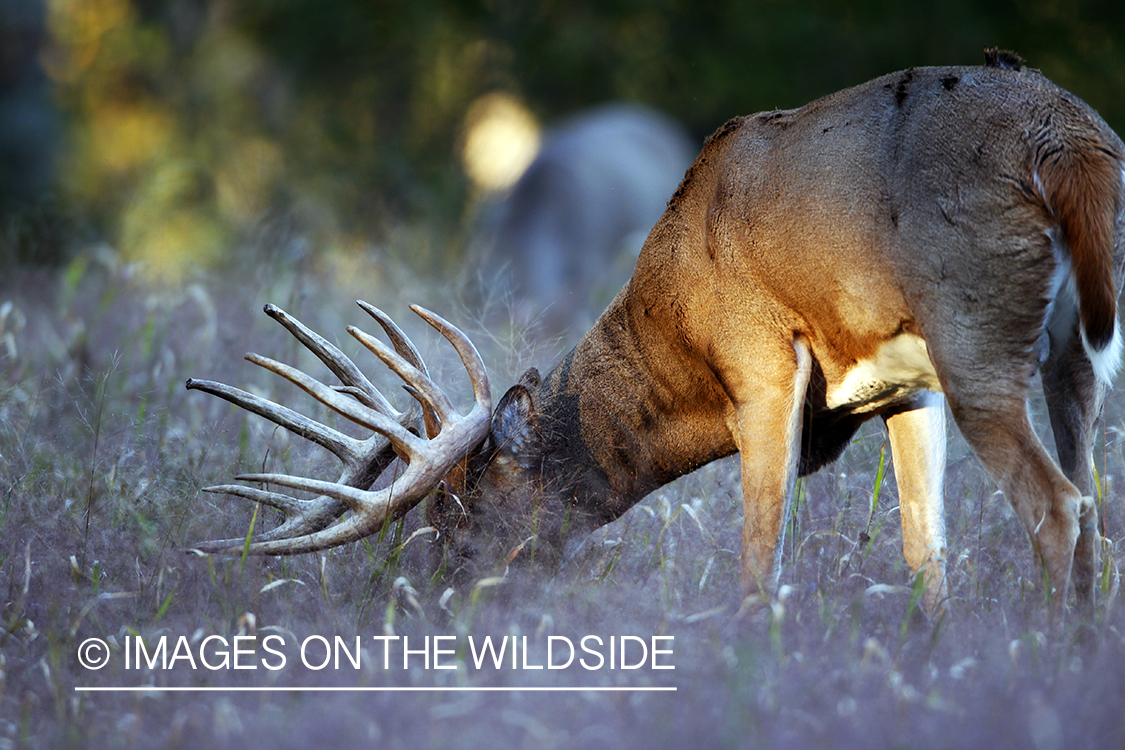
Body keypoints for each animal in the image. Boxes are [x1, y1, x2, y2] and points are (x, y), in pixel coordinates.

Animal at [186, 51, 1125, 616]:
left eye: (462, 502)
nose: (430, 593)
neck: (671, 322)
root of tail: (1068, 140)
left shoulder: (760, 364)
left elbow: (758, 563)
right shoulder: (901, 387)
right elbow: (925, 559)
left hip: (975, 330)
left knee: (1059, 505)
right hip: (1071, 354)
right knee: (1094, 504)